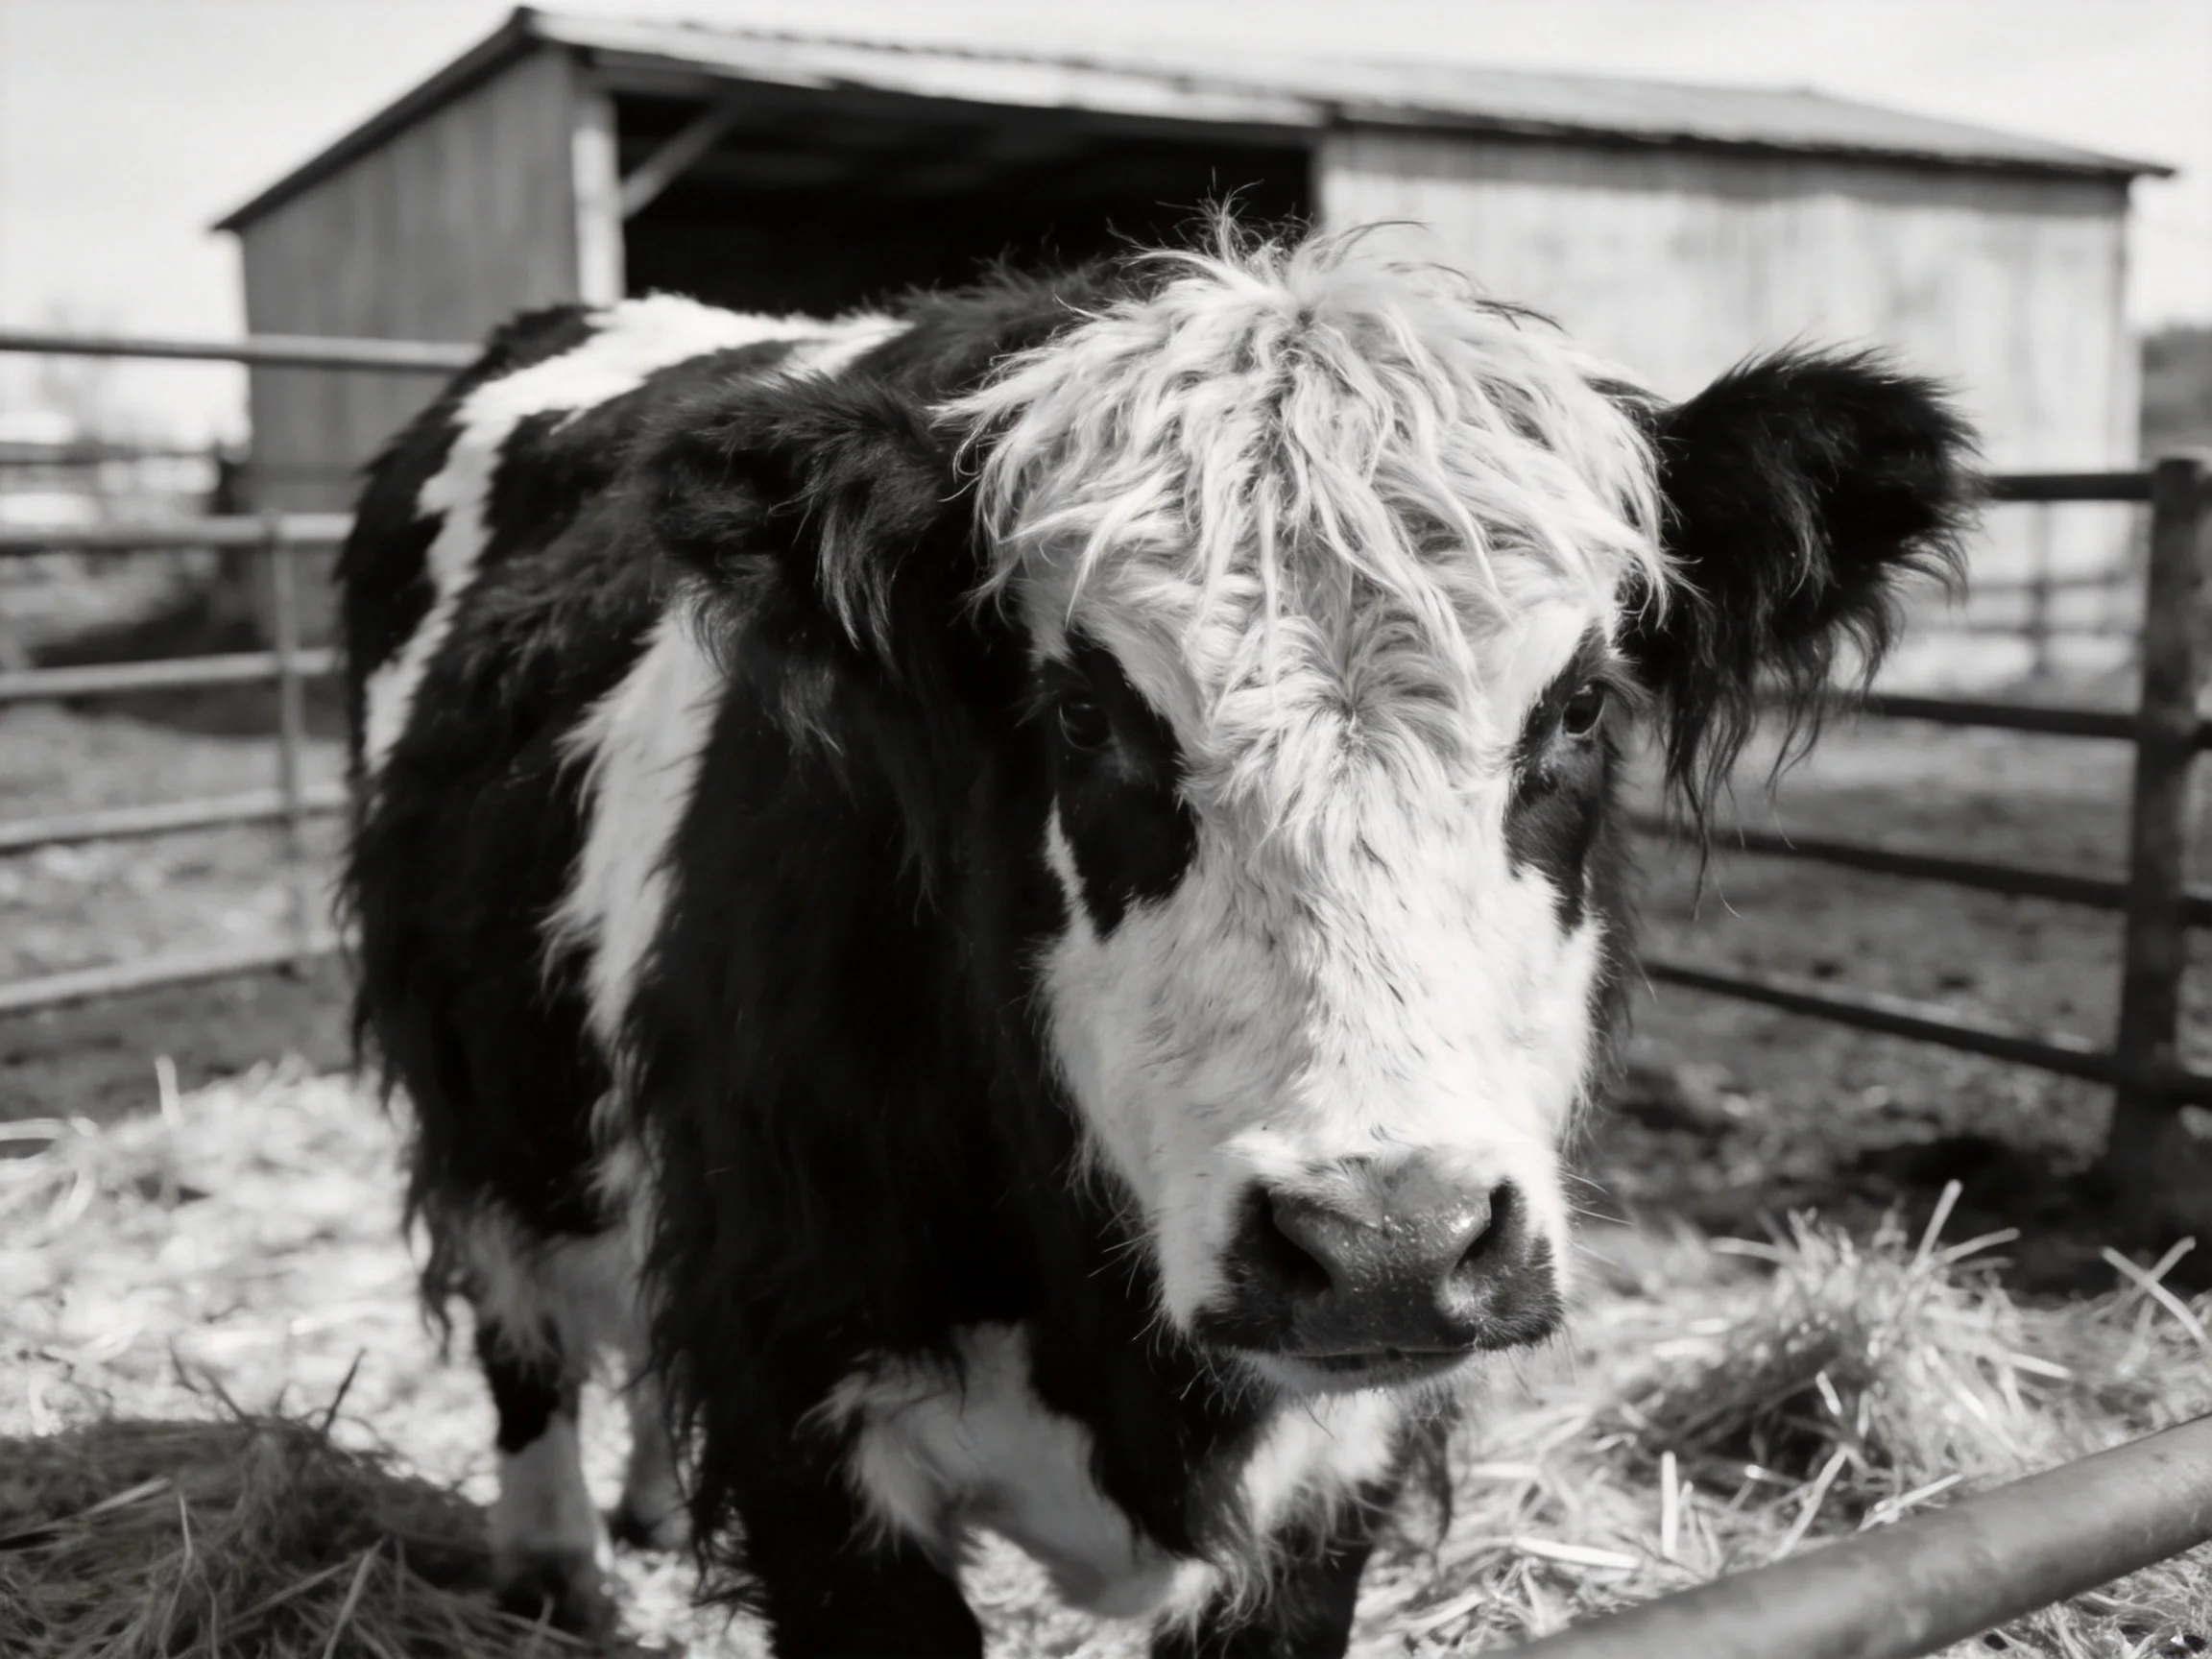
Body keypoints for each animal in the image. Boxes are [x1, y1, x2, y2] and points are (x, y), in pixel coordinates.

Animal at [338, 223, 1971, 1656]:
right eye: (1083, 714)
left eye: (1580, 708)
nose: (1385, 1248)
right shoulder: (807, 1421)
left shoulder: (1333, 1479)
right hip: (476, 1106)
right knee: (521, 1326)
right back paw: (553, 1563)